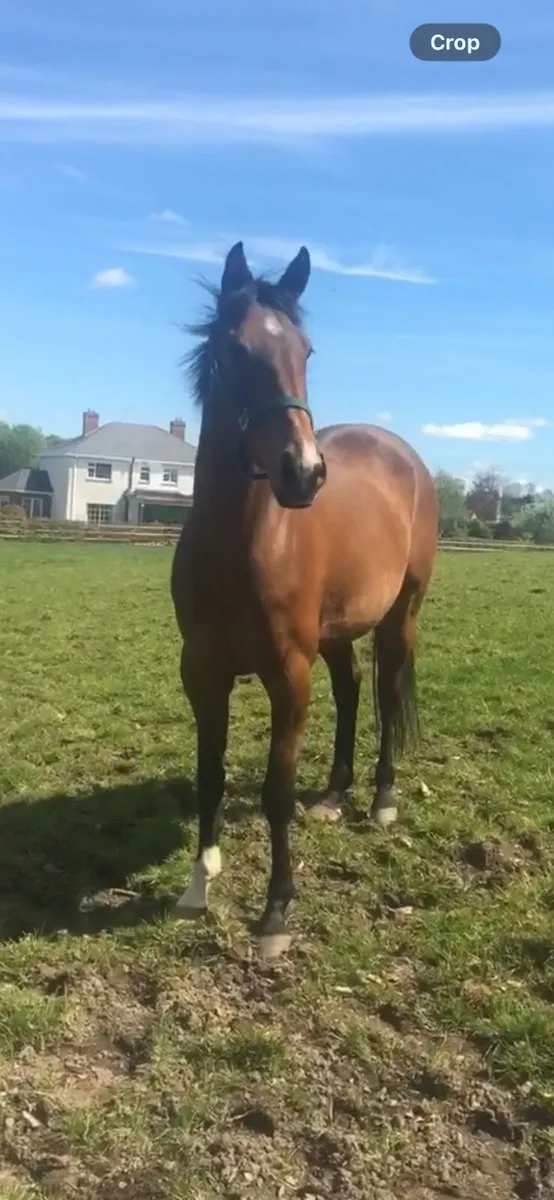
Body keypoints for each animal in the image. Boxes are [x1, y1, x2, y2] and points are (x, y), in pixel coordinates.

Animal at [170, 241, 439, 959]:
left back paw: (380, 799)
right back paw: (336, 793)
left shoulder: (288, 676)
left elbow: (275, 791)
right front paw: (199, 884)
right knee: (351, 689)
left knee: (385, 690)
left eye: (306, 352)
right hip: (338, 632)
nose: (305, 473)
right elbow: (210, 775)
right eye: (233, 350)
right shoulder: (202, 672)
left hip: (400, 616)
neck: (242, 542)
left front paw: (275, 914)